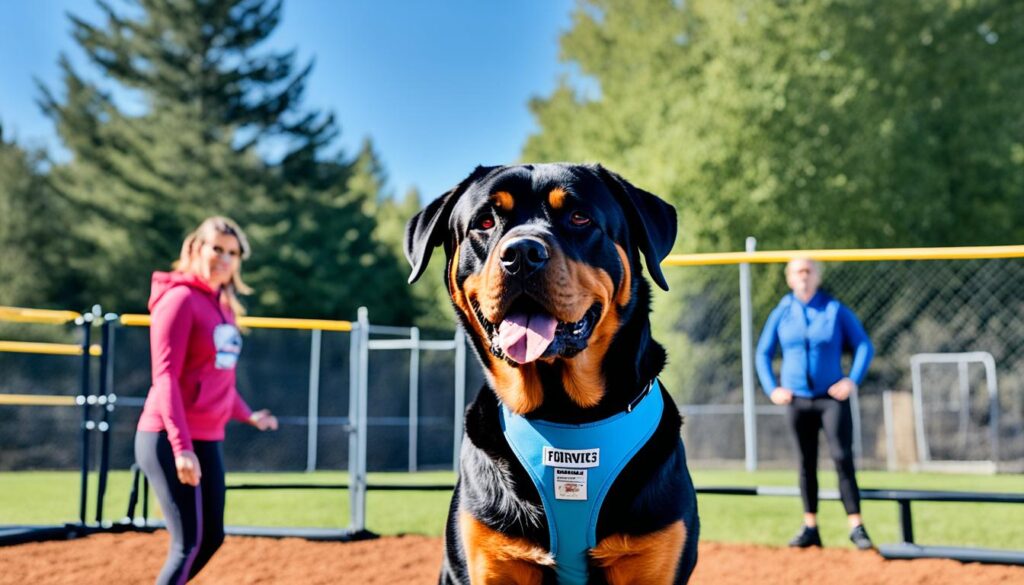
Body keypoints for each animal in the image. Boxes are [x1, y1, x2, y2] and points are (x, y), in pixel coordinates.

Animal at [403, 163, 700, 585]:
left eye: (579, 217)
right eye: (485, 221)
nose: (521, 254)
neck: (565, 416)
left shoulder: (656, 554)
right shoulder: (489, 554)